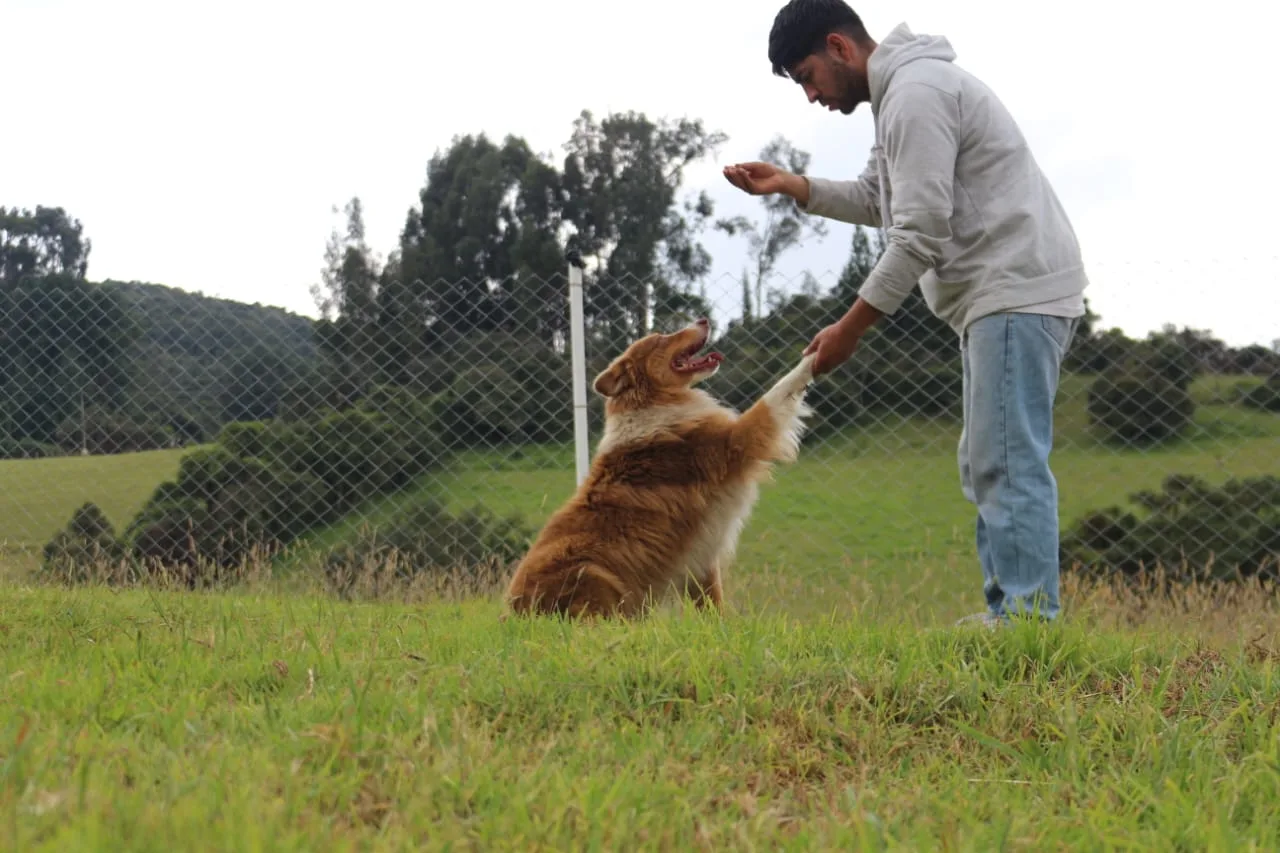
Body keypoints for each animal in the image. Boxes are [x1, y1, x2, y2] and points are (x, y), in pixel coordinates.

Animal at [504, 315, 814, 614]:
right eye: (661, 339)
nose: (703, 319)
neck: (653, 402)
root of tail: (512, 613)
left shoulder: (699, 554)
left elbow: (712, 604)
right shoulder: (735, 441)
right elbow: (777, 392)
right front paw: (812, 359)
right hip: (591, 568)